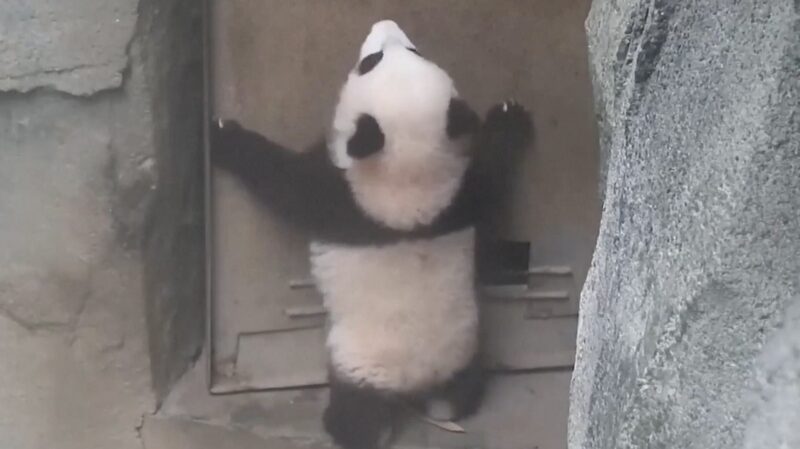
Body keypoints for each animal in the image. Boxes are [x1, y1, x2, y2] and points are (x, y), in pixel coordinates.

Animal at [210, 19, 532, 449]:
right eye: (410, 52)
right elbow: (490, 176)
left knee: (361, 416)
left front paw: (224, 137)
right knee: (460, 393)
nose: (385, 23)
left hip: (360, 364)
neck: (409, 179)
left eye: (370, 62)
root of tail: (415, 385)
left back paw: (346, 428)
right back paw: (455, 402)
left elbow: (282, 181)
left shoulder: (342, 197)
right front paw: (510, 118)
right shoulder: (457, 196)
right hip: (462, 348)